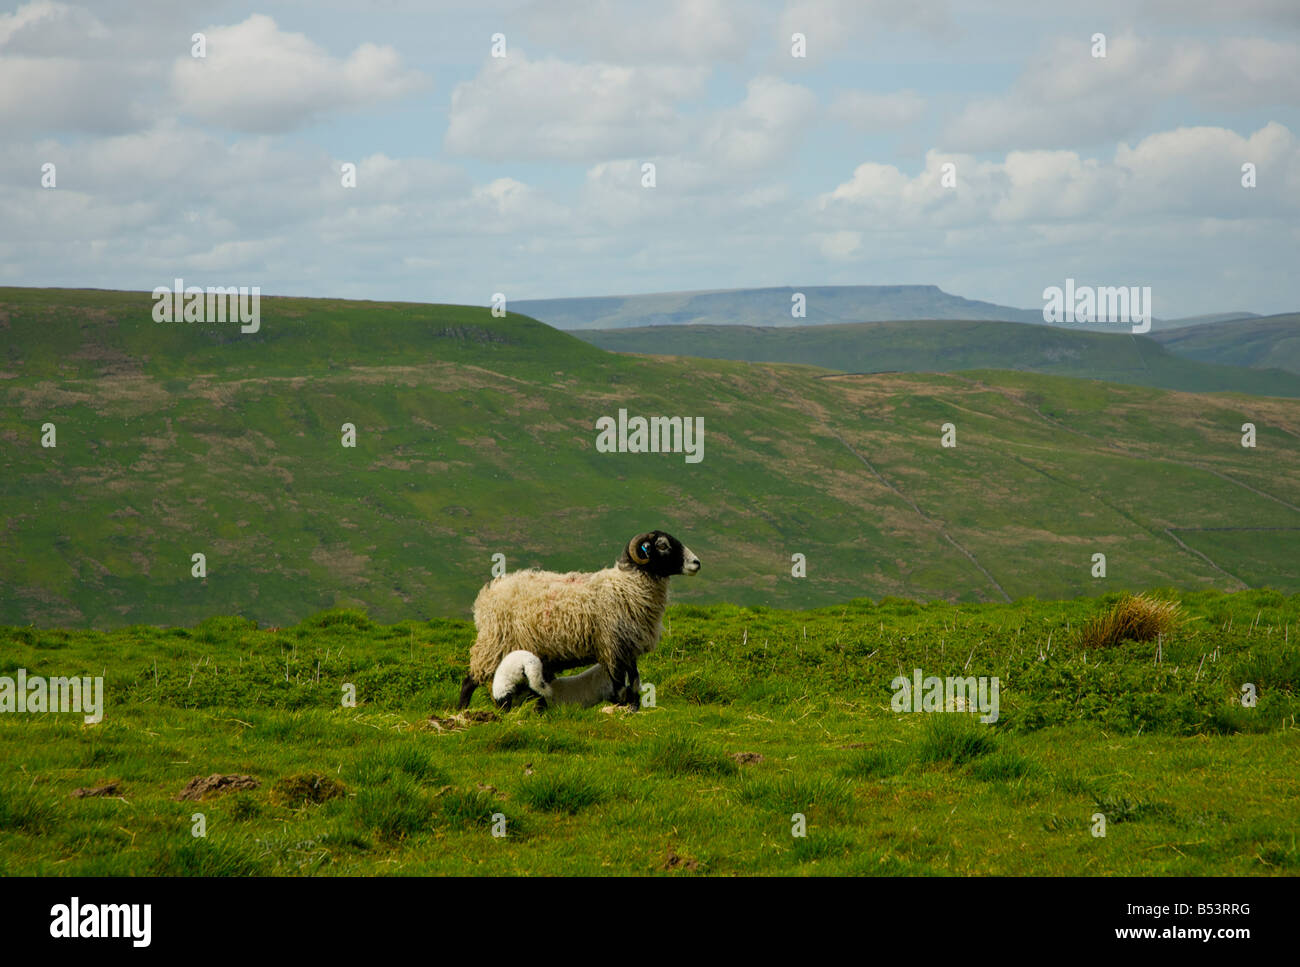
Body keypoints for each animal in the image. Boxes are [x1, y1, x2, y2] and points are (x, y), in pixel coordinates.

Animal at [457, 530, 700, 711]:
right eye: (662, 545)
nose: (696, 563)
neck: (627, 585)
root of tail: (488, 595)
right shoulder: (611, 646)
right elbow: (619, 684)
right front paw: (620, 707)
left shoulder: (628, 647)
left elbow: (634, 681)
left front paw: (634, 707)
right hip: (494, 644)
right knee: (470, 681)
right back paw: (461, 710)